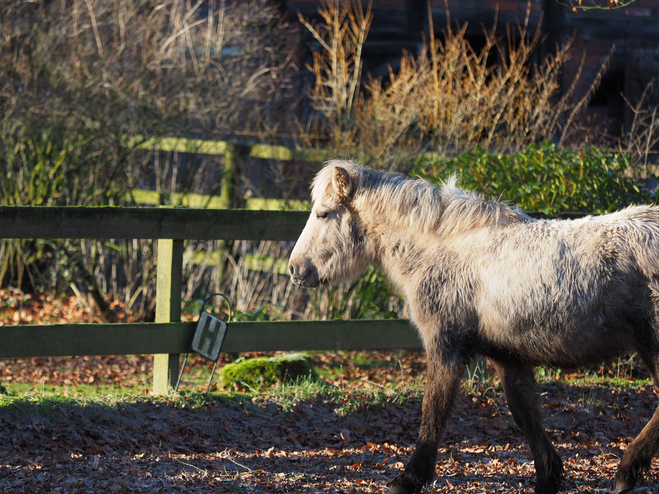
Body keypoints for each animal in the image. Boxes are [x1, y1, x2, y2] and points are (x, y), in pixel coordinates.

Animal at [290, 160, 659, 492]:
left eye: (323, 214)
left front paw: (408, 479)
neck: (441, 248)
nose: (295, 269)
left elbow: (433, 412)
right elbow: (526, 414)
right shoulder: (509, 356)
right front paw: (549, 477)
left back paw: (627, 471)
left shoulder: (446, 347)